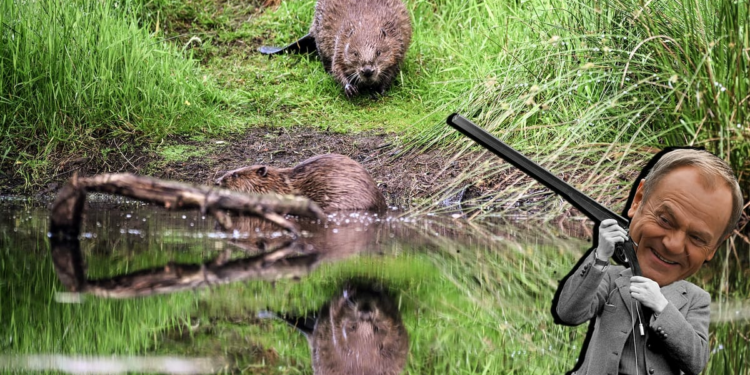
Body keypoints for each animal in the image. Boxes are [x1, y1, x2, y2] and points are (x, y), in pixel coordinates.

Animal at [258, 0, 412, 97]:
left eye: (379, 52)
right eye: (355, 53)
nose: (368, 71)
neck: (366, 24)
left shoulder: (397, 45)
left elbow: (393, 71)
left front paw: (378, 91)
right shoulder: (341, 42)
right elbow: (336, 67)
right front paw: (350, 88)